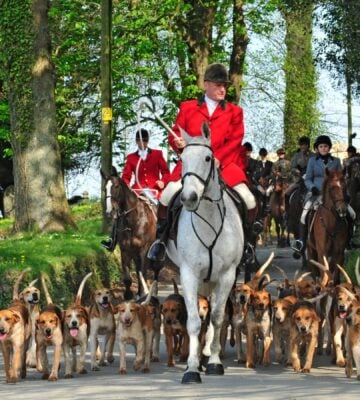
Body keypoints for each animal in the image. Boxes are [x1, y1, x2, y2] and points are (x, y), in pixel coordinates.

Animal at [101, 168, 158, 296]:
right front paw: (128, 295)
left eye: (116, 186)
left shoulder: (144, 250)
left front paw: (143, 294)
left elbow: (143, 273)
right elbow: (128, 277)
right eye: (104, 188)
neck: (133, 221)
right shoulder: (125, 250)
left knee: (155, 270)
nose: (109, 212)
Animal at [167, 125, 243, 384]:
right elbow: (193, 322)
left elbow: (218, 318)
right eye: (182, 159)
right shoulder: (189, 274)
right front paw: (191, 368)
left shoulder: (227, 275)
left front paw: (215, 363)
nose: (189, 198)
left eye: (208, 158)